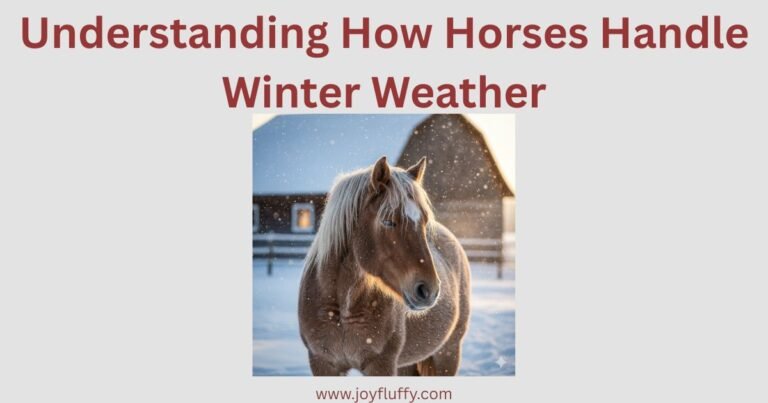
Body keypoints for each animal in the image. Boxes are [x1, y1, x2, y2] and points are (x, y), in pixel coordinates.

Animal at [298, 156, 471, 376]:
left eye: (424, 222)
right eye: (388, 221)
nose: (429, 290)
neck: (343, 308)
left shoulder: (381, 365)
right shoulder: (322, 363)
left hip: (448, 353)